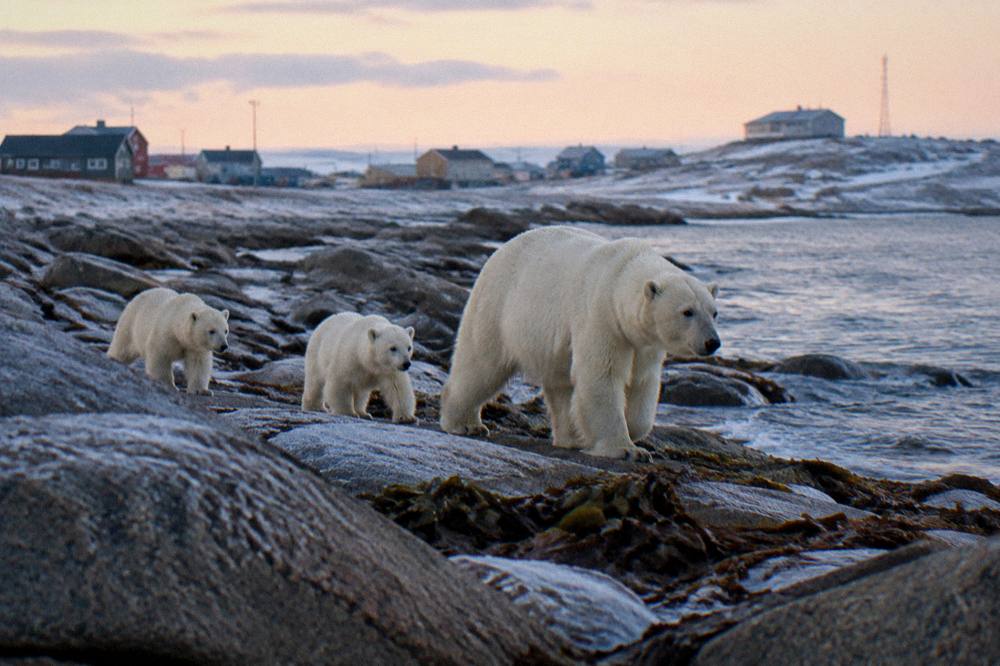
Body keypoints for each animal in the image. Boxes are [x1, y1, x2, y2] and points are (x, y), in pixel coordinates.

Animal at [440, 225, 720, 460]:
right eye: (687, 311)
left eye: (714, 312)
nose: (712, 342)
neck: (619, 278)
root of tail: (499, 251)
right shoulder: (601, 319)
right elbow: (601, 375)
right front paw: (627, 450)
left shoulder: (644, 343)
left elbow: (642, 381)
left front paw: (631, 429)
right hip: (497, 306)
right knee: (481, 364)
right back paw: (465, 423)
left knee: (560, 384)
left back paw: (571, 437)